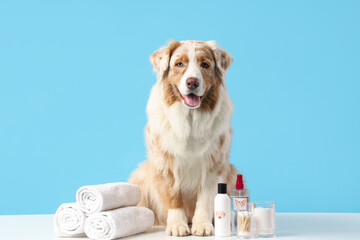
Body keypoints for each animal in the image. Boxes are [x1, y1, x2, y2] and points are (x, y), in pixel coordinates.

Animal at [129, 39, 239, 236]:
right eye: (179, 64)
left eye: (205, 65)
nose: (192, 82)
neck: (190, 119)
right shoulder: (165, 163)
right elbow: (173, 196)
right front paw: (176, 225)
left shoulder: (214, 164)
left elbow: (205, 198)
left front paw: (202, 225)